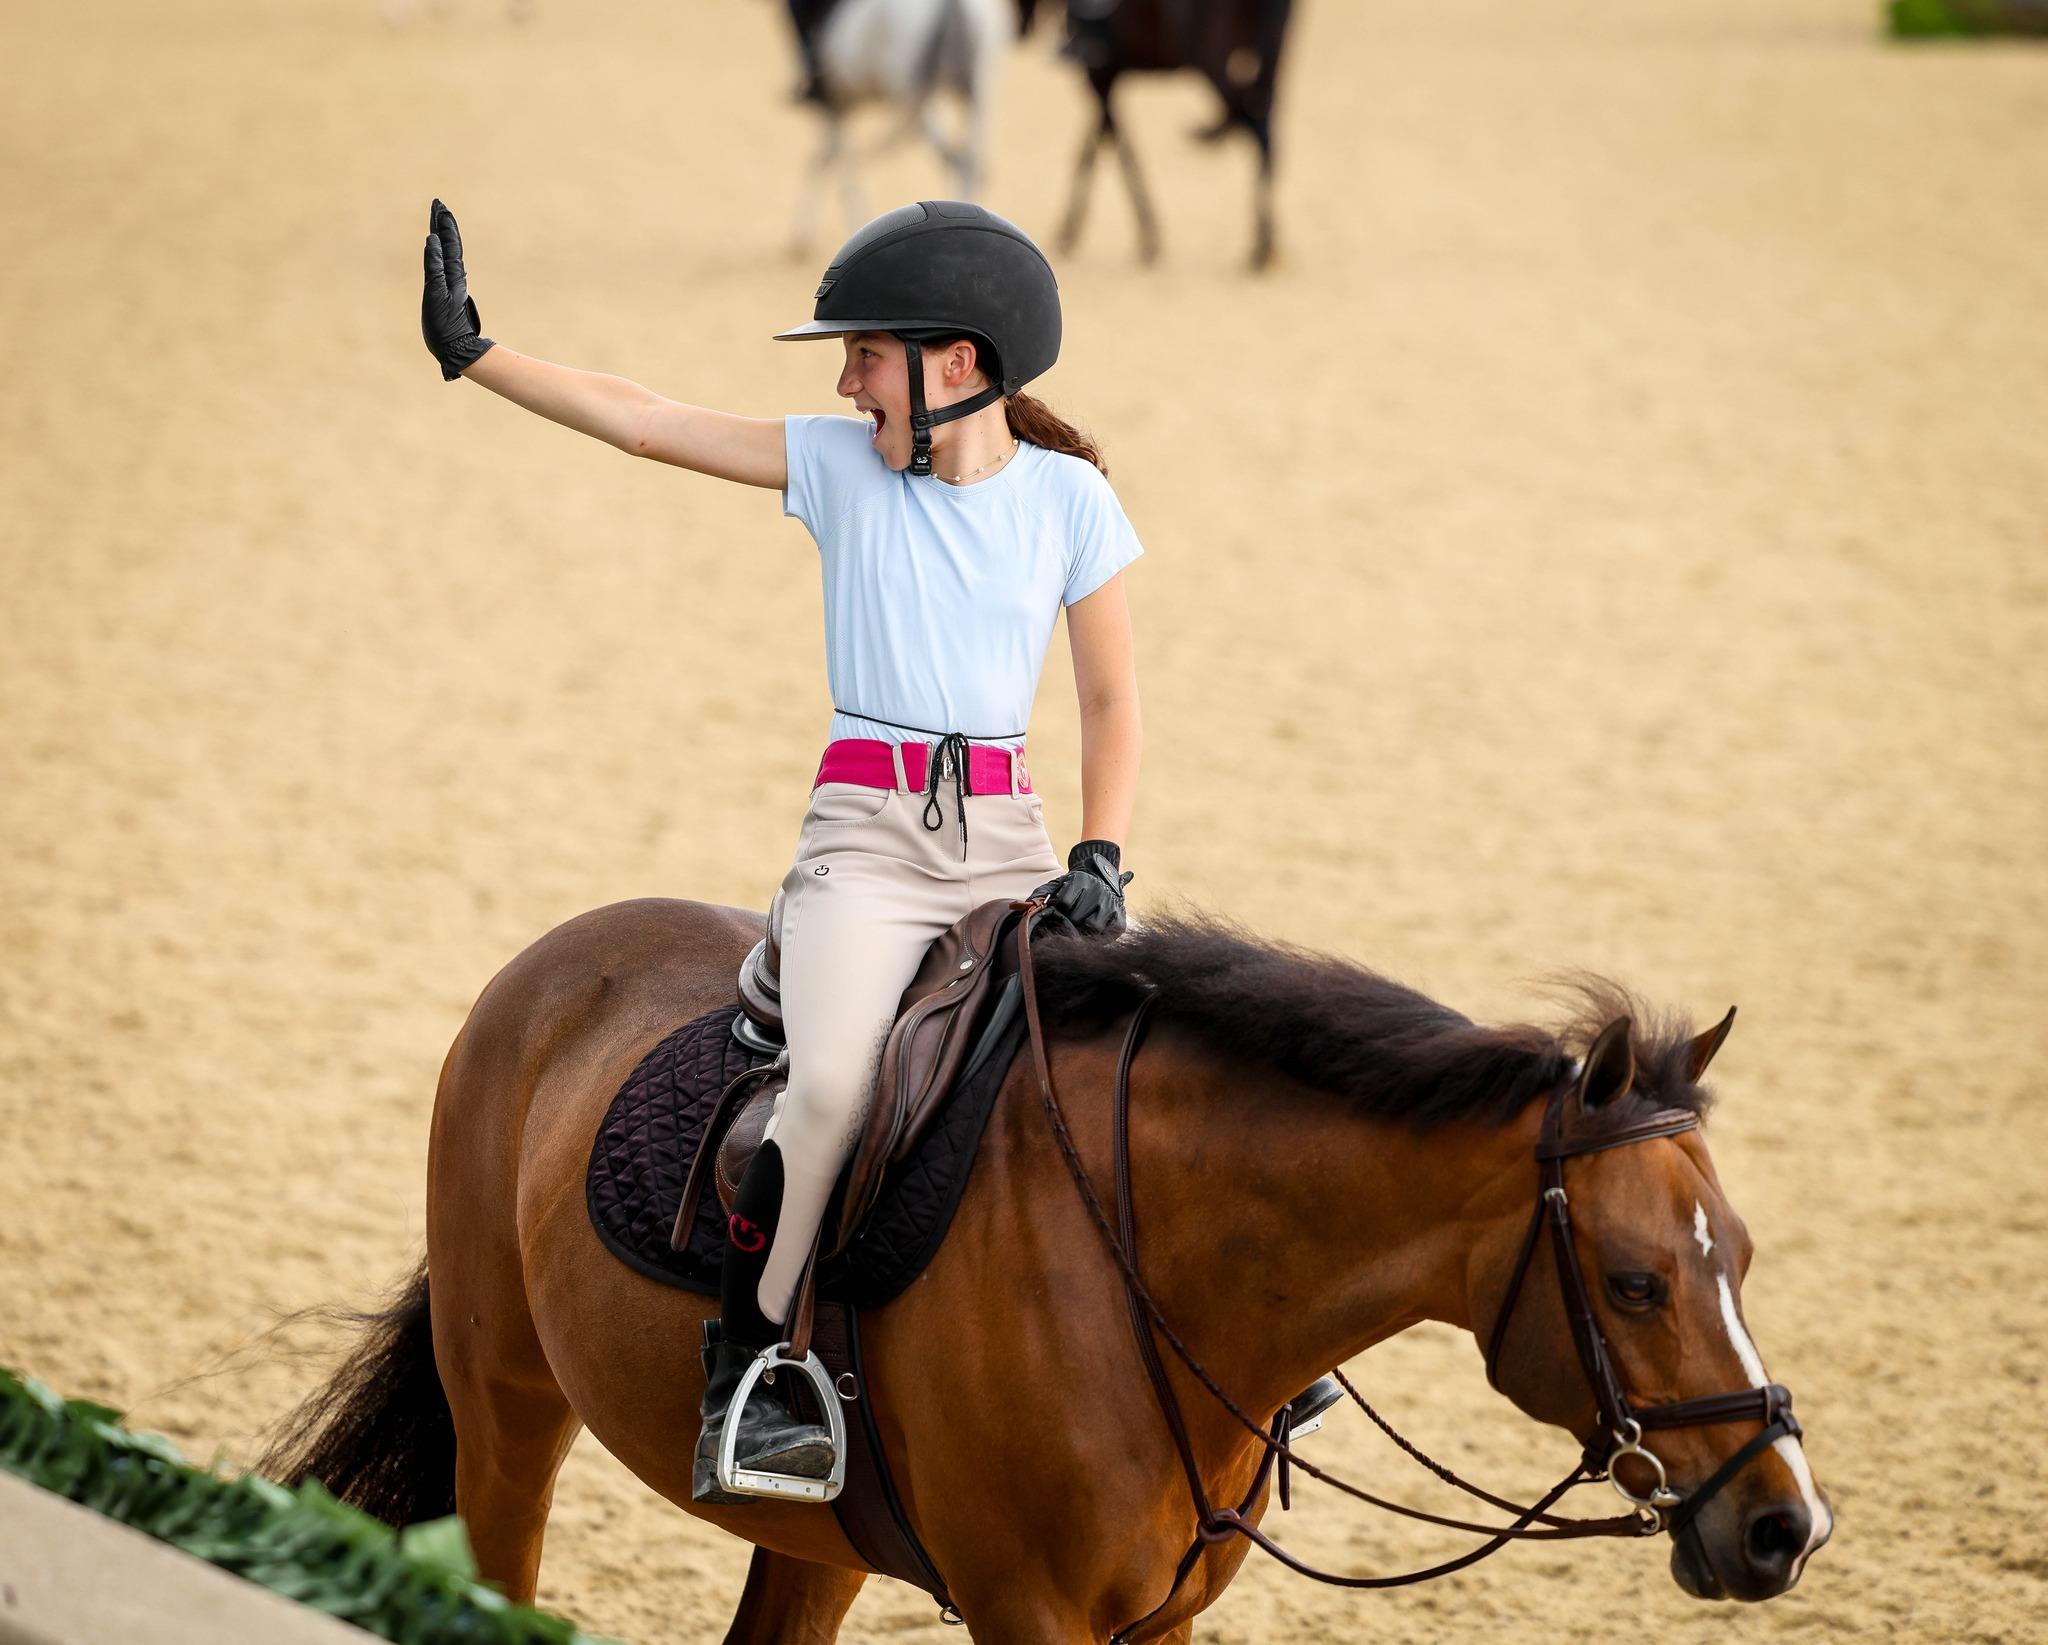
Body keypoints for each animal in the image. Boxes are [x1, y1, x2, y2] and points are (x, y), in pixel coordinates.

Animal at [261, 898, 1831, 1640]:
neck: (1165, 1280)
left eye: (1744, 1260)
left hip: (807, 1542)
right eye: (1634, 1283)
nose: (1784, 1526)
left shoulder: (1161, 1623)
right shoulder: (1034, 1617)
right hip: (509, 1416)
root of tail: (554, 962)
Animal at [782, 0, 1013, 255]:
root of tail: (954, 7)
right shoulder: (840, 109)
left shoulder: (836, 106)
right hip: (976, 97)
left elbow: (833, 161)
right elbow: (827, 158)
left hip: (917, 99)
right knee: (970, 164)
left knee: (957, 161)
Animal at [1035, 0, 1296, 270]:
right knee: (1265, 125)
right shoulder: (1108, 76)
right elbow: (1102, 141)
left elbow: (1111, 146)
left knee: (1255, 125)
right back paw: (1266, 246)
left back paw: (1263, 247)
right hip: (1267, 52)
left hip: (1212, 59)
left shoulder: (1099, 75)